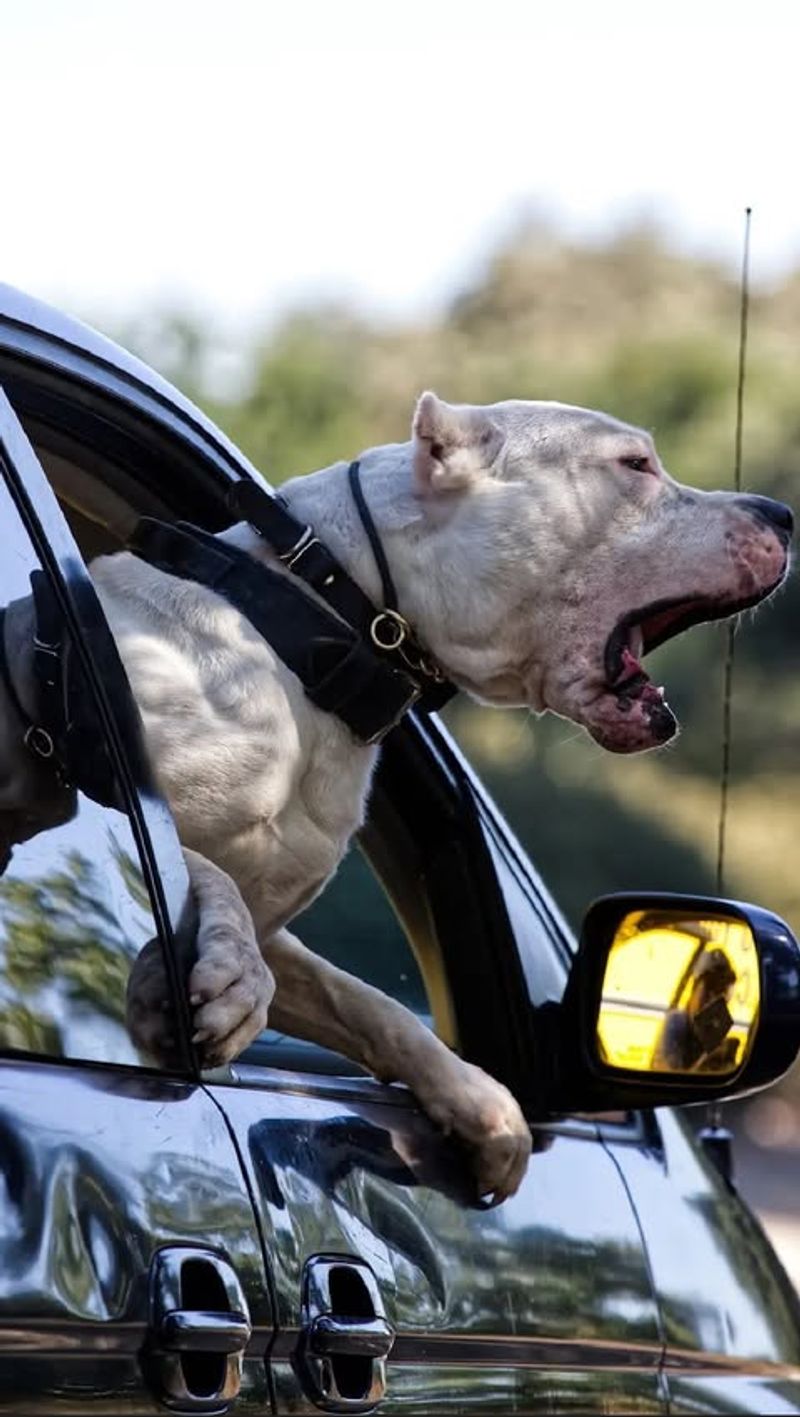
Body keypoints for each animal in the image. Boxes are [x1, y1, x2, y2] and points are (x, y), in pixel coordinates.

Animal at [0, 393, 787, 1201]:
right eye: (635, 464)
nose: (781, 513)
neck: (312, 627)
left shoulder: (282, 923)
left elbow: (363, 1000)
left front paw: (482, 1107)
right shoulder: (103, 787)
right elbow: (196, 866)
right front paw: (236, 978)